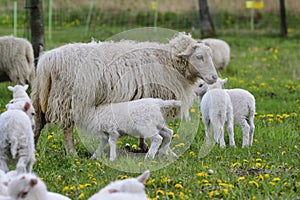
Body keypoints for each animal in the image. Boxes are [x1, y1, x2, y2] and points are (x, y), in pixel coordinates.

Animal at [31, 32, 218, 155]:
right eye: (199, 56)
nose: (214, 77)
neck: (168, 61)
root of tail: (48, 60)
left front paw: (143, 146)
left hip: (41, 97)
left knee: (37, 123)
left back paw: (33, 148)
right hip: (68, 98)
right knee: (67, 128)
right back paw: (72, 153)